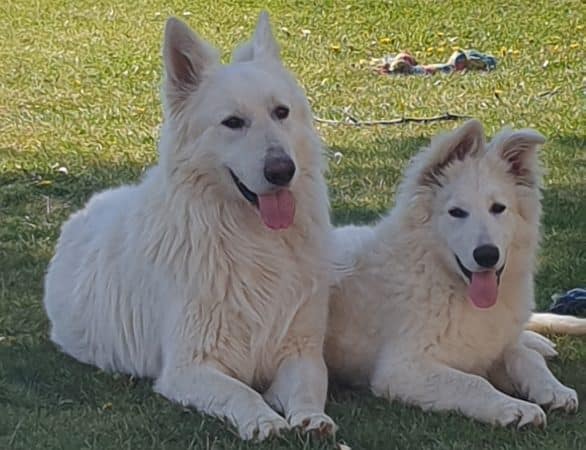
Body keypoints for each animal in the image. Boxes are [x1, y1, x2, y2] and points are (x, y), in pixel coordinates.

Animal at [43, 13, 336, 440]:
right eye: (233, 123)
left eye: (281, 112)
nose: (283, 171)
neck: (252, 241)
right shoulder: (188, 368)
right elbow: (242, 392)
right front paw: (264, 421)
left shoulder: (301, 351)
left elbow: (309, 386)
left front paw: (311, 419)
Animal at [326, 120, 580, 428]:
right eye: (456, 212)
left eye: (498, 208)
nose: (487, 255)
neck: (441, 275)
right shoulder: (403, 369)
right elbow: (474, 382)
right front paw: (516, 407)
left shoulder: (492, 346)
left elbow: (525, 357)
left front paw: (554, 389)